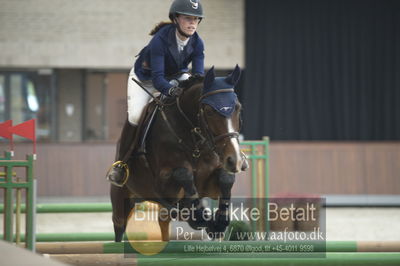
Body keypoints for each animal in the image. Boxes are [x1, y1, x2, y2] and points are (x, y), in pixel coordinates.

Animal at [111, 64, 245, 241]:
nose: (233, 160)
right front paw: (200, 217)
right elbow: (184, 174)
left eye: (238, 108)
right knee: (119, 226)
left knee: (164, 221)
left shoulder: (209, 185)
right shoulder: (162, 185)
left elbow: (226, 178)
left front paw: (218, 223)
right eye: (209, 111)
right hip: (121, 199)